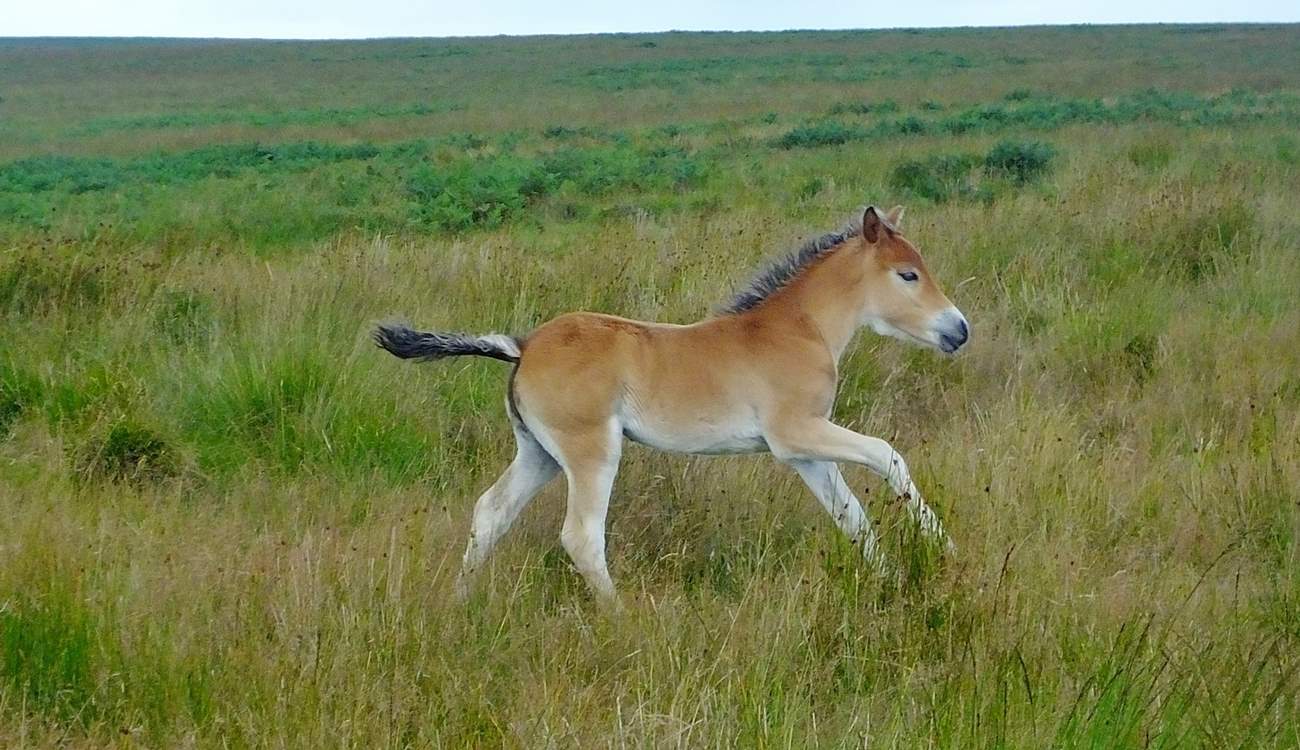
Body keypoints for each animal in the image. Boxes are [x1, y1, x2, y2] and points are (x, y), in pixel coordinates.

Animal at [375, 205, 970, 603]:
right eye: (908, 274)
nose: (959, 330)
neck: (799, 329)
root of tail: (523, 346)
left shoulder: (805, 453)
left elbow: (851, 516)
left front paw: (892, 580)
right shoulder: (796, 433)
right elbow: (887, 454)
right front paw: (947, 551)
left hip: (538, 454)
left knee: (491, 511)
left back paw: (460, 601)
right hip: (591, 451)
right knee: (581, 536)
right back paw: (622, 618)